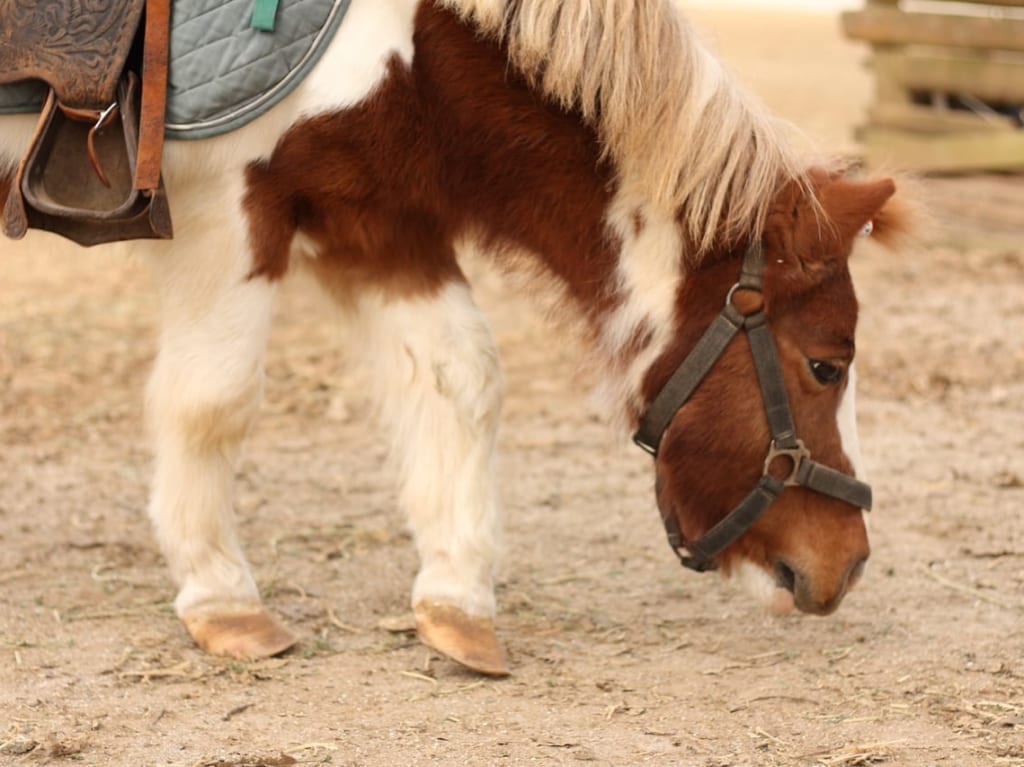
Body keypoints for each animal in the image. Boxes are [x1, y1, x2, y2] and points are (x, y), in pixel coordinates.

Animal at [0, 0, 909, 671]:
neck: (413, 43)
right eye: (826, 365)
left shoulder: (375, 218)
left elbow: (458, 374)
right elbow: (212, 398)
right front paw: (224, 598)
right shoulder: (232, 208)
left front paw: (457, 602)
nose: (850, 563)